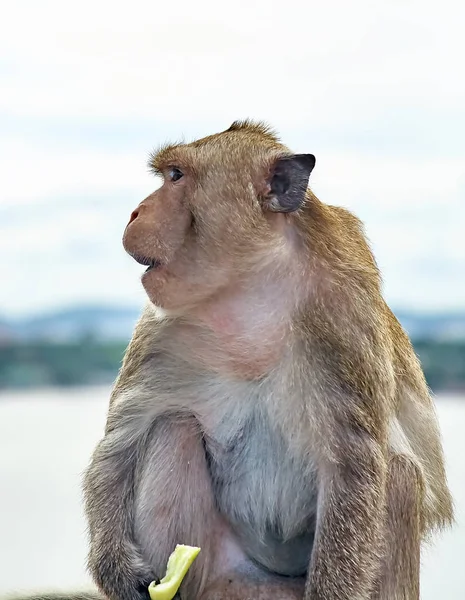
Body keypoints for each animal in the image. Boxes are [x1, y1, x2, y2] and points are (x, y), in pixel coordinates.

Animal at [7, 120, 454, 600]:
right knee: (173, 427)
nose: (134, 213)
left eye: (176, 176)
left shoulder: (346, 321)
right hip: (222, 575)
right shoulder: (160, 330)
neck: (251, 294)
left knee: (400, 474)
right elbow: (122, 441)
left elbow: (354, 465)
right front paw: (116, 570)